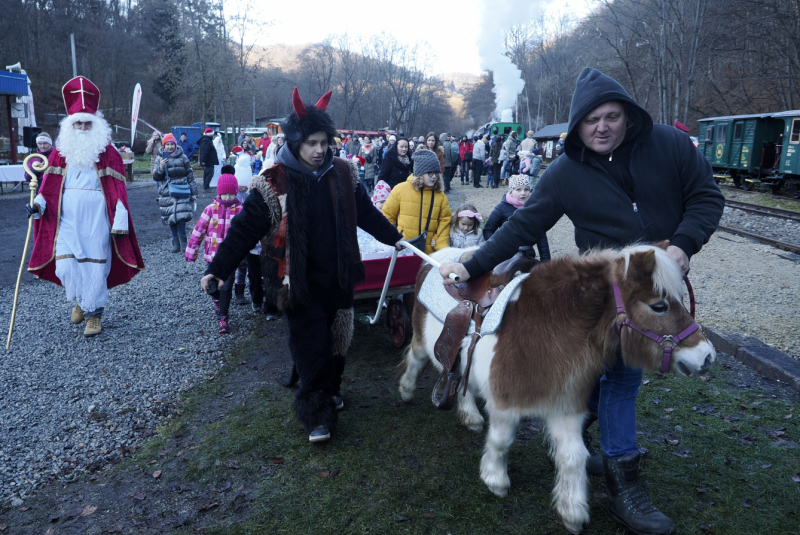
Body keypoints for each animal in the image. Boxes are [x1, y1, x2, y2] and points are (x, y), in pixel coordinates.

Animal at [396, 244, 716, 535]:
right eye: (659, 306)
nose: (707, 356)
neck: (551, 327)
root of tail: (437, 255)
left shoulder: (566, 407)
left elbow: (574, 457)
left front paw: (572, 510)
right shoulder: (505, 403)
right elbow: (501, 441)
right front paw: (495, 480)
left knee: (464, 386)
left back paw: (470, 417)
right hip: (424, 343)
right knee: (415, 359)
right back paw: (407, 391)